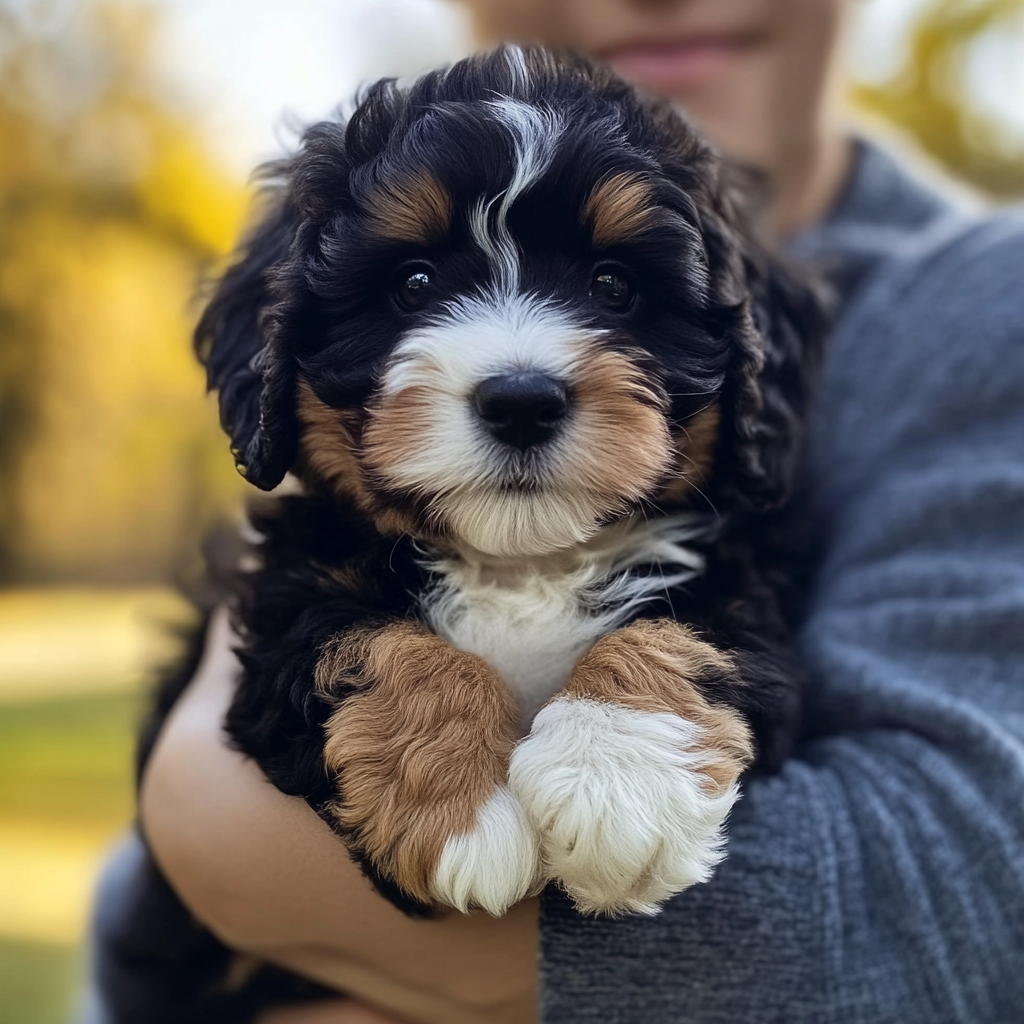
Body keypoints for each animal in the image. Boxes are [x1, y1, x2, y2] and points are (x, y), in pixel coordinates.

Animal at [119, 44, 827, 1024]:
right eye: (414, 283)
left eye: (614, 286)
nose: (521, 399)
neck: (520, 562)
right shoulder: (285, 595)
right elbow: (375, 642)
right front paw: (465, 814)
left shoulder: (746, 578)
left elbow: (691, 628)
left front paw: (620, 783)